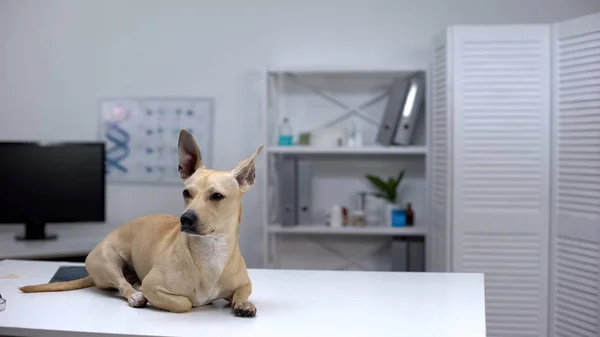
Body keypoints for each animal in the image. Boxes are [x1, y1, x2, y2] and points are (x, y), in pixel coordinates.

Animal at [19, 129, 262, 316]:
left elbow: (242, 293)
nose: (185, 218)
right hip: (107, 260)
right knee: (122, 285)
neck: (210, 250)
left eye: (217, 196)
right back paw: (136, 294)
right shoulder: (154, 286)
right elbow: (185, 302)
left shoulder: (245, 283)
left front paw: (243, 304)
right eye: (186, 193)